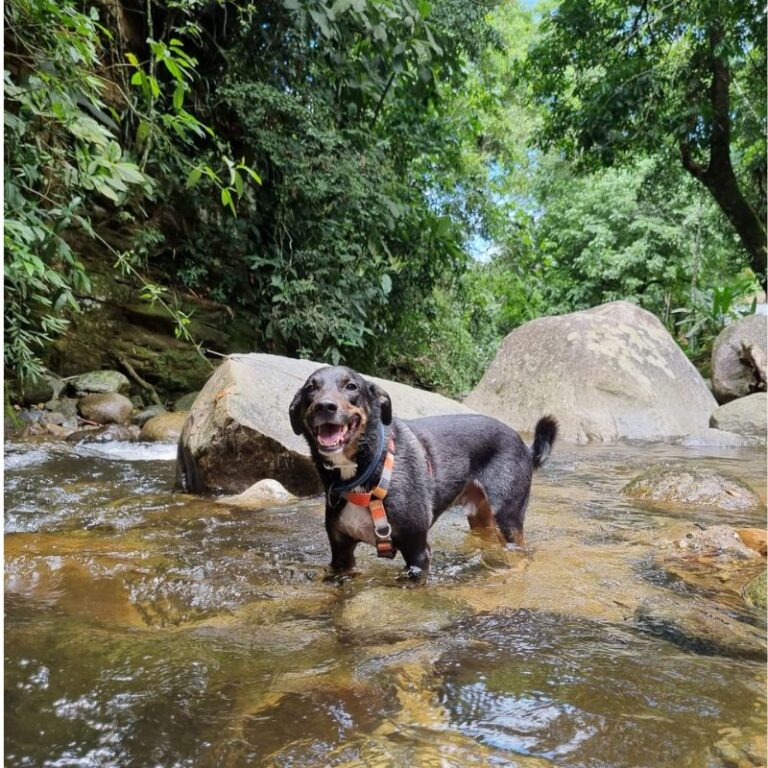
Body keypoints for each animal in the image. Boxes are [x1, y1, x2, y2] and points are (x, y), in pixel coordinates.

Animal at [290, 366, 560, 576]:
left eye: (351, 386)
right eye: (310, 389)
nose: (324, 406)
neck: (365, 475)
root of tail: (524, 445)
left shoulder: (417, 552)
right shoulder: (341, 555)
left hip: (508, 517)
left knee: (523, 551)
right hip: (481, 519)